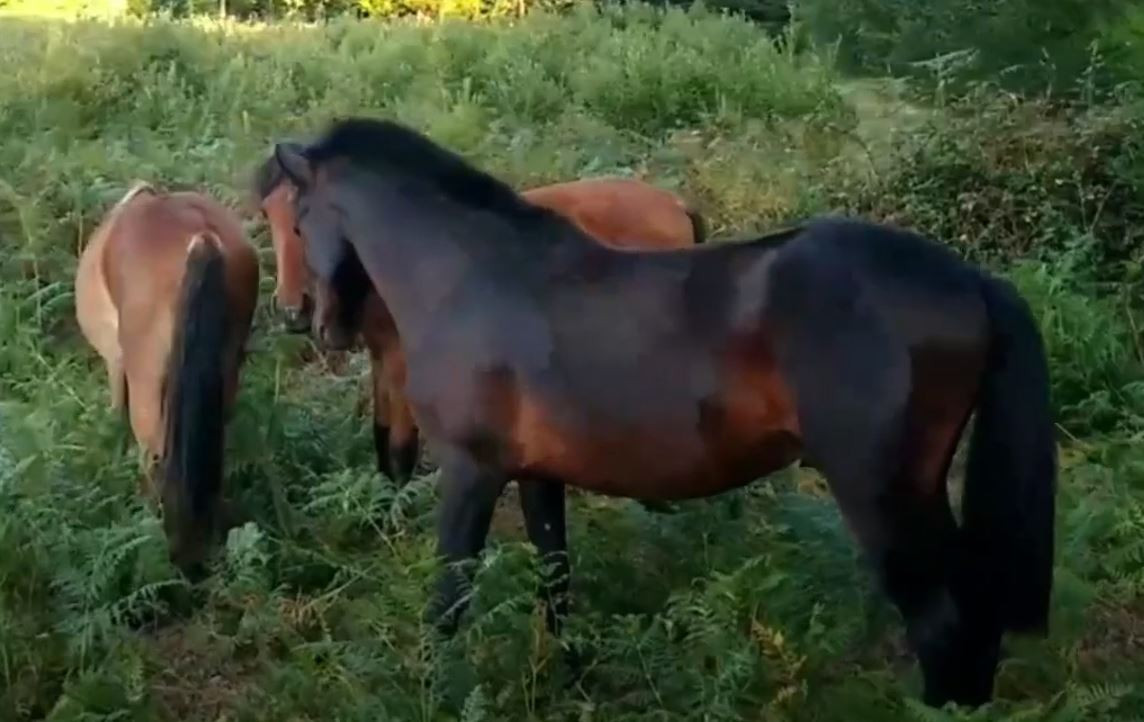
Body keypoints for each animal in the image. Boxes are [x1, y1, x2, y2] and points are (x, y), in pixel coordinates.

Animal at [251, 158, 705, 484]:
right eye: (267, 213)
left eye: (301, 220)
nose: (293, 309)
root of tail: (674, 204)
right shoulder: (381, 359)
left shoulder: (402, 364)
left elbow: (400, 447)